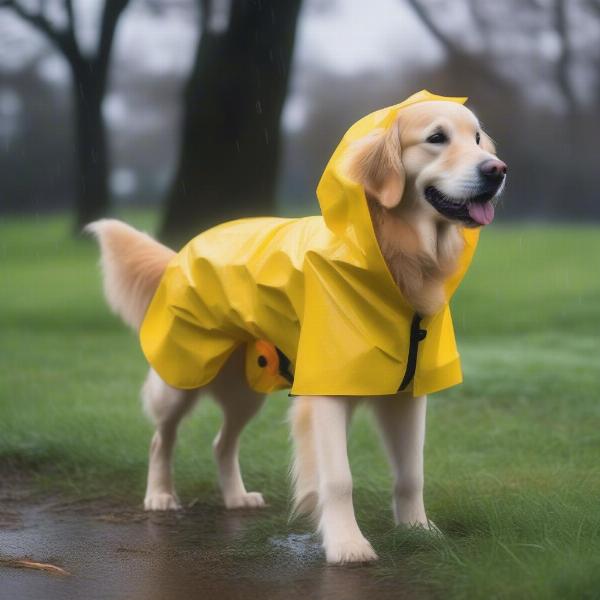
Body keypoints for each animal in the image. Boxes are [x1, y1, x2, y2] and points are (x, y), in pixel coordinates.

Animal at [86, 89, 504, 564]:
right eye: (437, 138)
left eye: (477, 138)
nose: (497, 170)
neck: (391, 260)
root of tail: (181, 253)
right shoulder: (326, 390)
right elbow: (338, 478)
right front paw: (347, 545)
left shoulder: (407, 393)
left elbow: (411, 473)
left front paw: (419, 530)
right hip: (181, 376)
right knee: (162, 438)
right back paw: (159, 495)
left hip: (245, 390)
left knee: (221, 443)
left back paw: (236, 497)